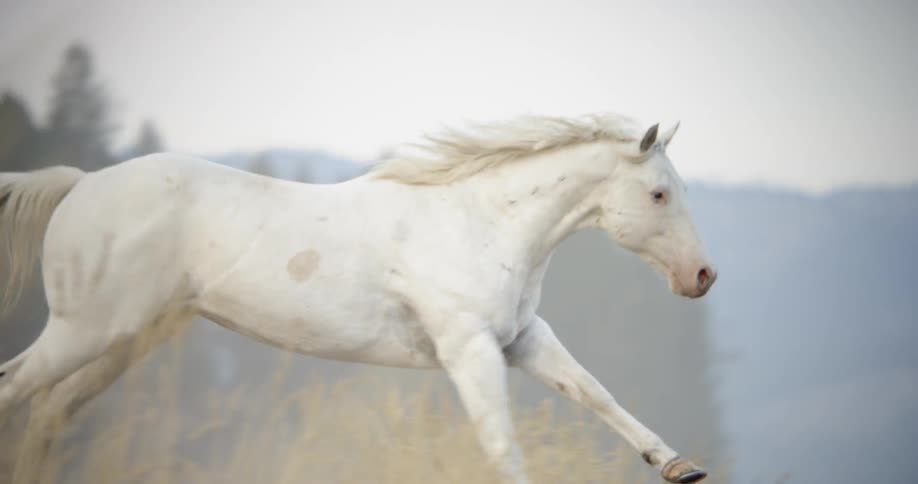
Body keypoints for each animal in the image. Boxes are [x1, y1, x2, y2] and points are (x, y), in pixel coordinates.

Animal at [0, 113, 716, 483]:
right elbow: (501, 444)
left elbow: (596, 393)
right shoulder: (469, 350)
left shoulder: (522, 339)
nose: (703, 276)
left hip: (127, 339)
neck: (479, 221)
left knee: (49, 411)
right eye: (659, 193)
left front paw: (679, 465)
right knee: (16, 389)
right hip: (84, 330)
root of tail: (79, 184)